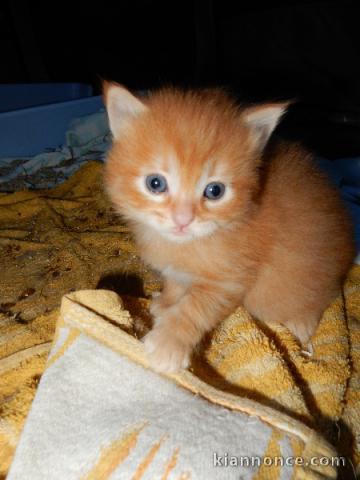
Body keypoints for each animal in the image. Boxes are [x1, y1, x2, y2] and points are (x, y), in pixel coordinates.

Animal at [103, 82, 354, 374]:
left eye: (215, 191)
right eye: (155, 183)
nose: (183, 219)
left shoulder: (228, 280)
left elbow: (194, 308)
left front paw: (169, 343)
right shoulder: (179, 270)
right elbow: (175, 283)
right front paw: (166, 303)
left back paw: (302, 332)